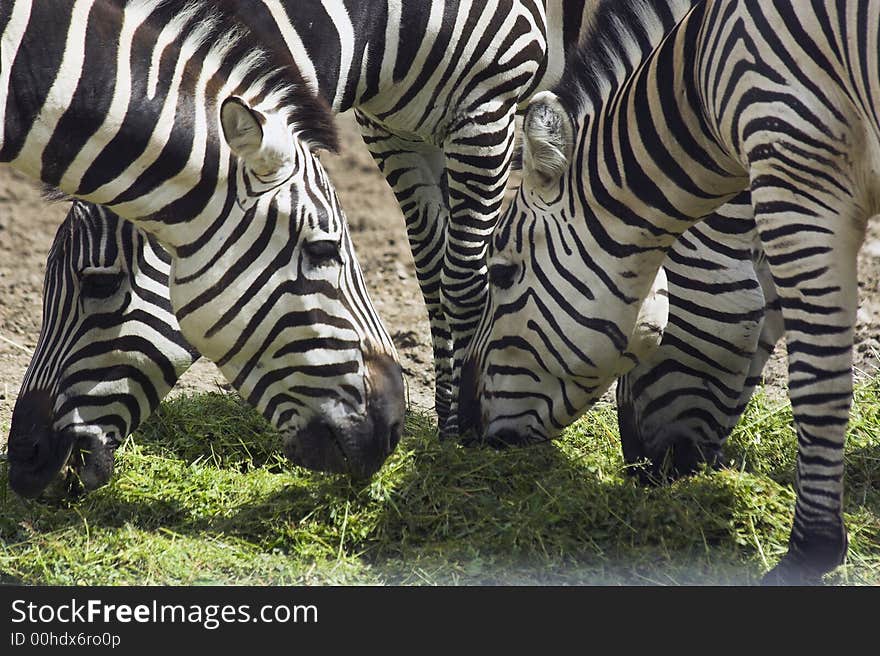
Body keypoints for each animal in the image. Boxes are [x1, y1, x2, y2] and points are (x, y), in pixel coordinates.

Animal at [460, 0, 880, 584]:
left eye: (501, 275)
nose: (466, 429)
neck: (698, 79)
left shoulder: (799, 172)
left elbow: (818, 379)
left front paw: (809, 551)